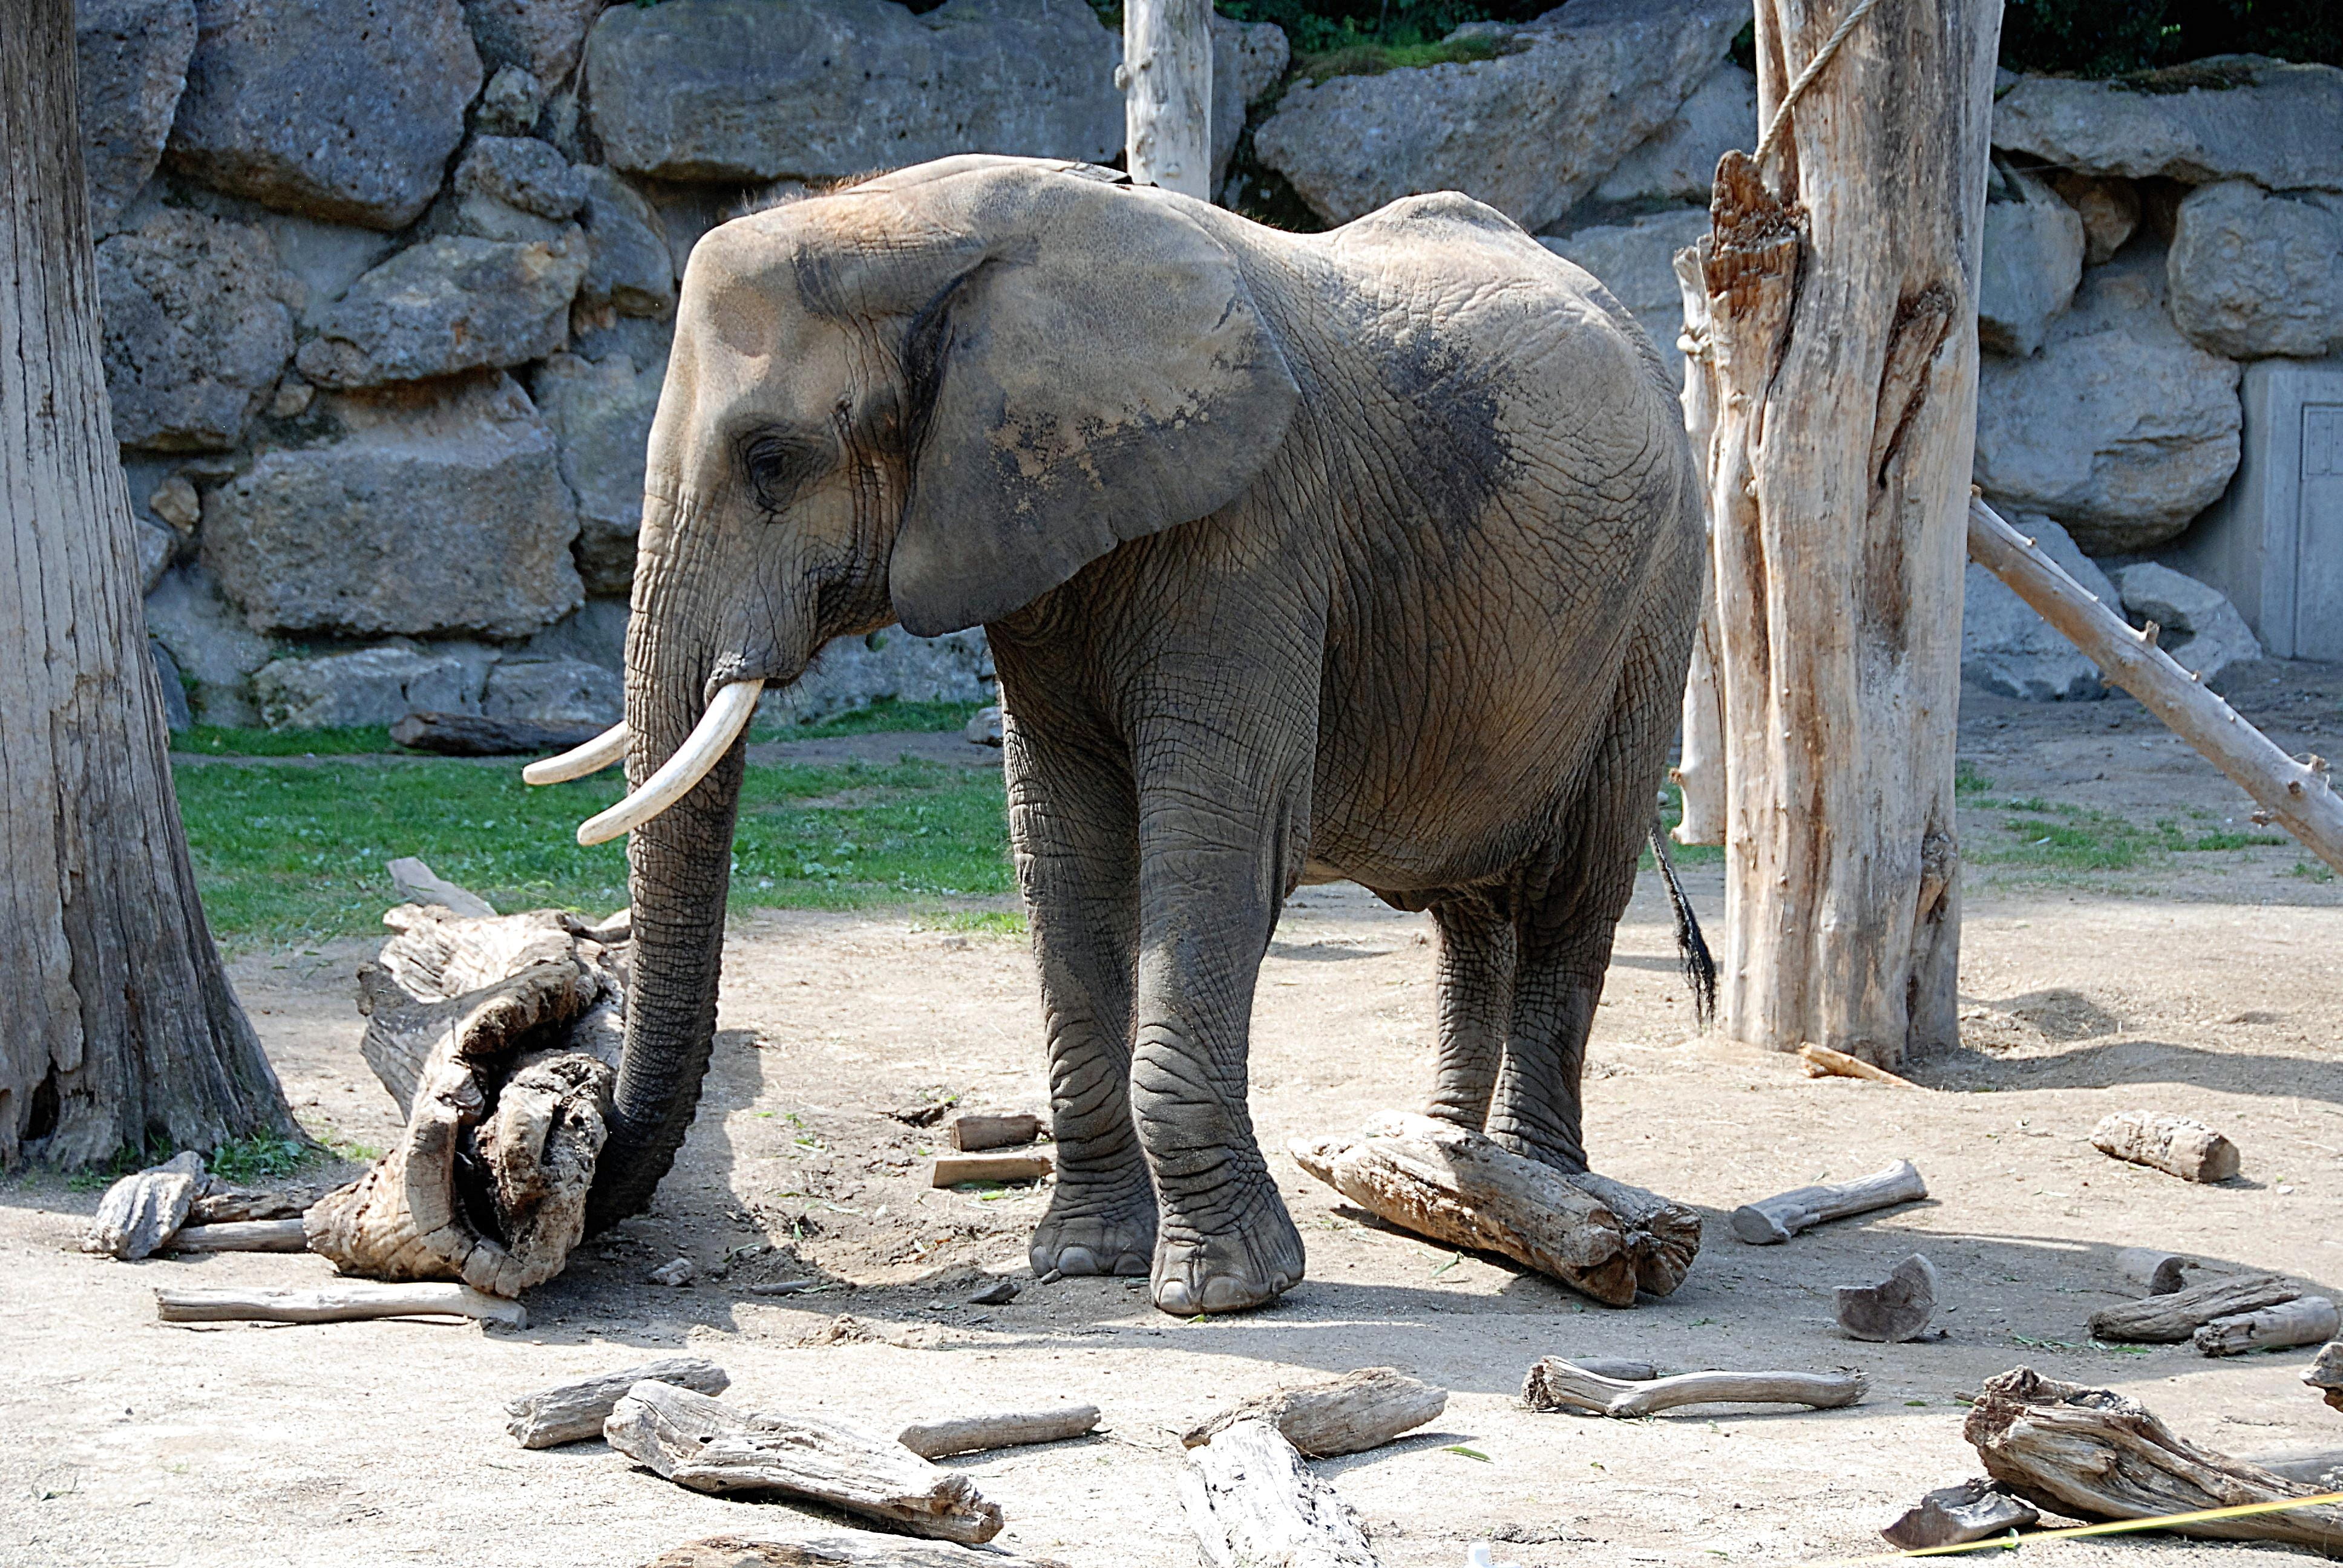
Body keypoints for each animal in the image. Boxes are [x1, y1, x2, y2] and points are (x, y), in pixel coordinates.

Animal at [530, 153, 1713, 1317]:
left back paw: (1548, 1206)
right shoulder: (1034, 538)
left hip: (1658, 597)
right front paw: (1083, 1261)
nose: (576, 1134)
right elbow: (1065, 845)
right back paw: (1440, 1173)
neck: (924, 221)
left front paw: (1226, 1292)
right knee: (1469, 910)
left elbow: (1220, 839)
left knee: (1576, 890)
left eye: (773, 460)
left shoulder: (1253, 523)